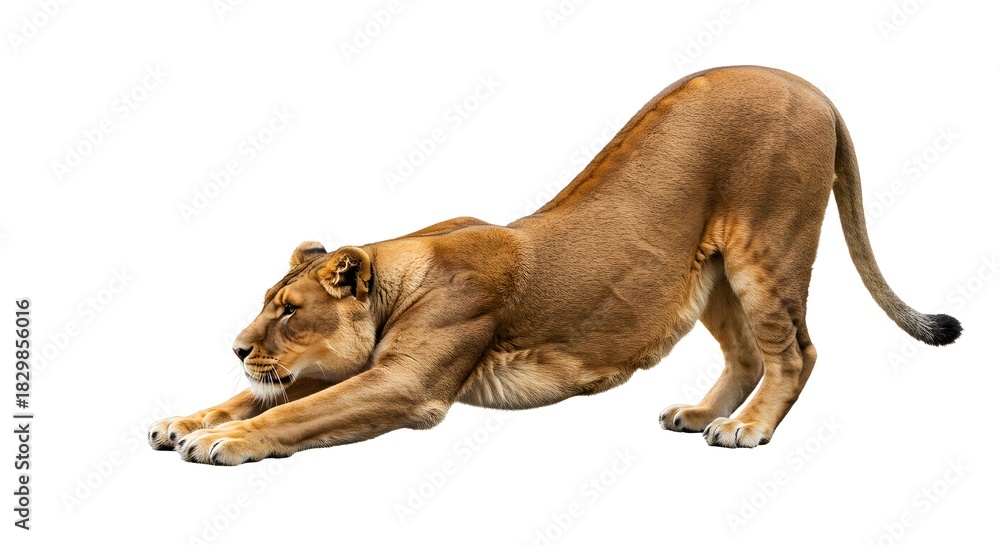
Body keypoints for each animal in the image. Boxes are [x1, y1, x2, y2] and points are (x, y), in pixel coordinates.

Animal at [149, 65, 961, 464]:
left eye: (289, 312)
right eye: (266, 301)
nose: (236, 346)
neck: (399, 276)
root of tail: (810, 86)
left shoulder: (408, 385)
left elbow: (296, 410)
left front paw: (222, 441)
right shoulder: (364, 369)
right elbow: (259, 396)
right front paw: (184, 420)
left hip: (768, 249)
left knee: (797, 351)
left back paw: (746, 430)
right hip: (711, 274)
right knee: (747, 352)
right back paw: (701, 414)